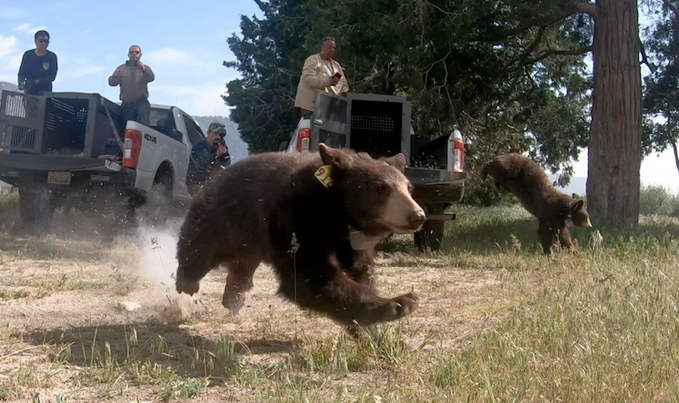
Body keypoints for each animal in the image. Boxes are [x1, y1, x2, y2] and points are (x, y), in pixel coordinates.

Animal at [175, 144, 426, 328]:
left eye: (408, 187)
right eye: (381, 188)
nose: (418, 215)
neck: (334, 213)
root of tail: (213, 178)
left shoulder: (351, 240)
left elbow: (362, 269)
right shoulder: (295, 218)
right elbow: (309, 275)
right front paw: (398, 303)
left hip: (249, 238)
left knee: (242, 266)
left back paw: (234, 297)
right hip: (220, 220)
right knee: (198, 250)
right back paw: (187, 283)